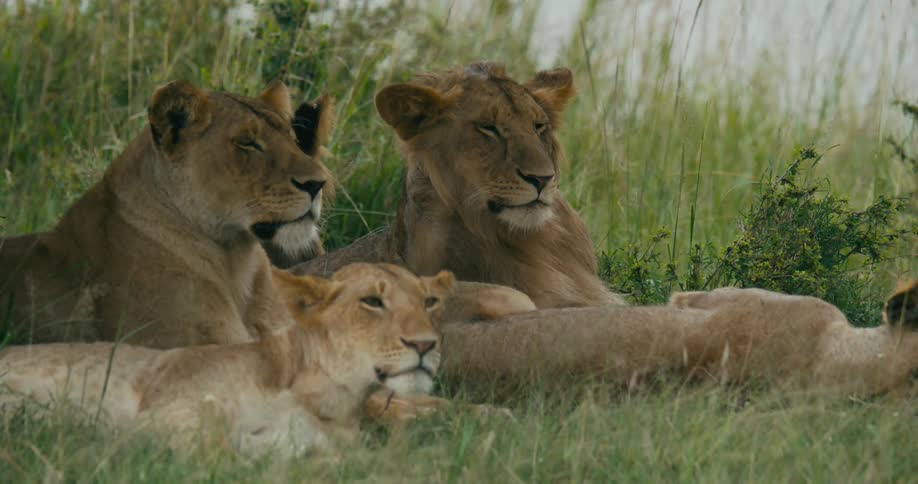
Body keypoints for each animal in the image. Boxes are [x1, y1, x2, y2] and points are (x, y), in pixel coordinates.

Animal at [0, 263, 461, 457]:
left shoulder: (316, 445)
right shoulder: (169, 408)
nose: (426, 345)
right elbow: (212, 443)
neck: (329, 396)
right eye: (372, 302)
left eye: (429, 302)